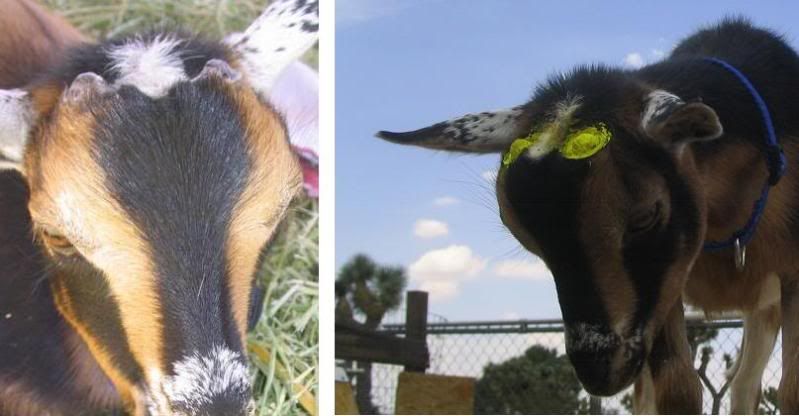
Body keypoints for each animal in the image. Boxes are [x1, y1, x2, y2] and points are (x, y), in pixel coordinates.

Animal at [377, 18, 798, 413]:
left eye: (646, 216)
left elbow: (790, 391)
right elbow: (677, 392)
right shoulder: (668, 287)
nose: (599, 370)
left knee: (745, 385)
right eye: (523, 237)